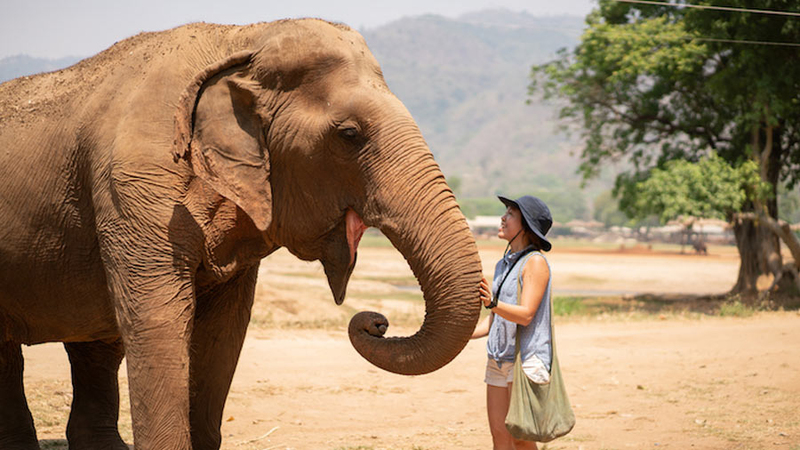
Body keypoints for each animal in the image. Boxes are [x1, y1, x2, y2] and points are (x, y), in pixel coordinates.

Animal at [0, 19, 483, 450]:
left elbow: (224, 331)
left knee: (93, 346)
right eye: (349, 134)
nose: (377, 322)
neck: (241, 38)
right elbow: (157, 321)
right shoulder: (136, 189)